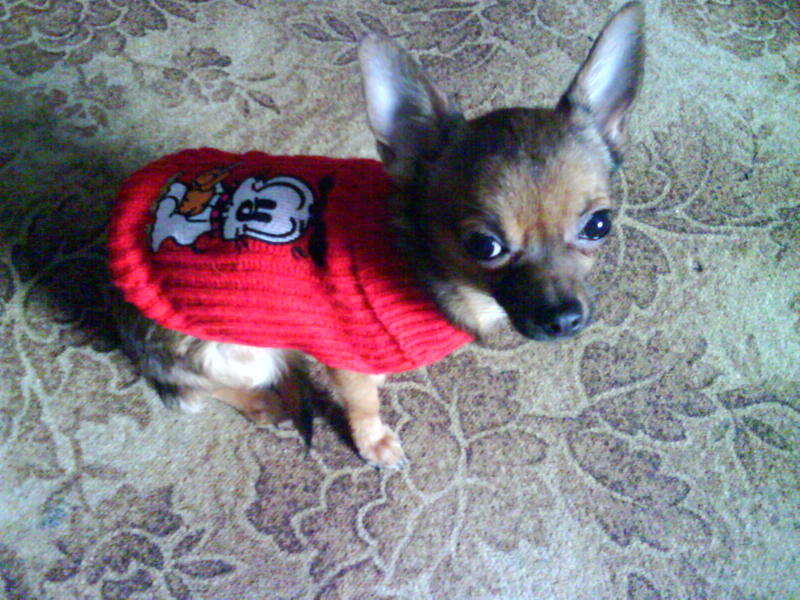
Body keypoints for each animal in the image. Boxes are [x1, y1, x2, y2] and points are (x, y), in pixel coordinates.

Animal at [111, 2, 644, 468]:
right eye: (483, 246)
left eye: (599, 225)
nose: (564, 319)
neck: (427, 265)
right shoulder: (348, 356)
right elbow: (361, 404)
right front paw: (373, 443)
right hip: (234, 352)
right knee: (192, 390)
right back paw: (259, 402)